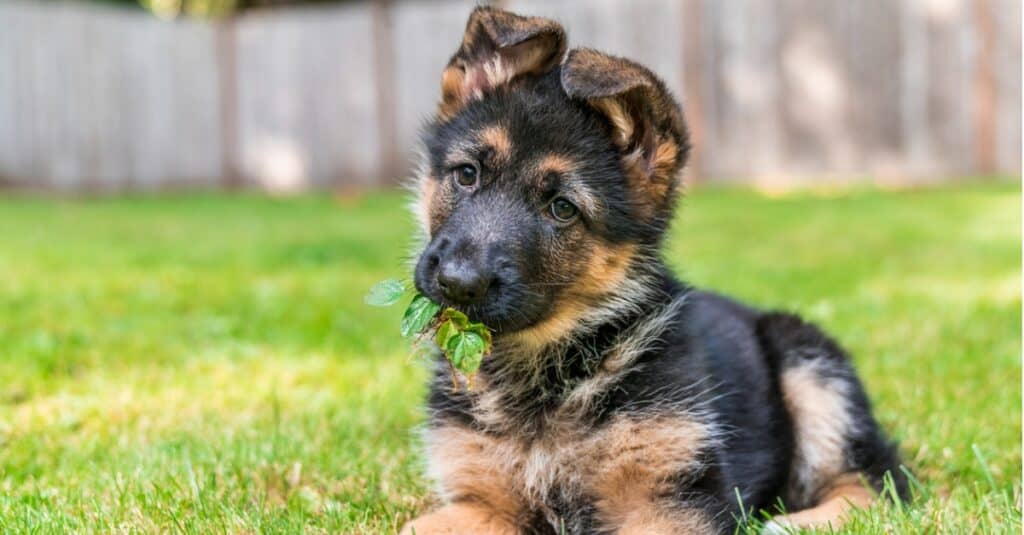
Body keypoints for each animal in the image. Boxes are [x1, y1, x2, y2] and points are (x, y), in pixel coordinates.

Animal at [403, 6, 909, 528]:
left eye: (562, 209)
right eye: (467, 174)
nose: (456, 283)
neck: (546, 368)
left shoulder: (670, 499)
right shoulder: (478, 501)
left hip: (811, 367)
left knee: (878, 483)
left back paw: (788, 524)